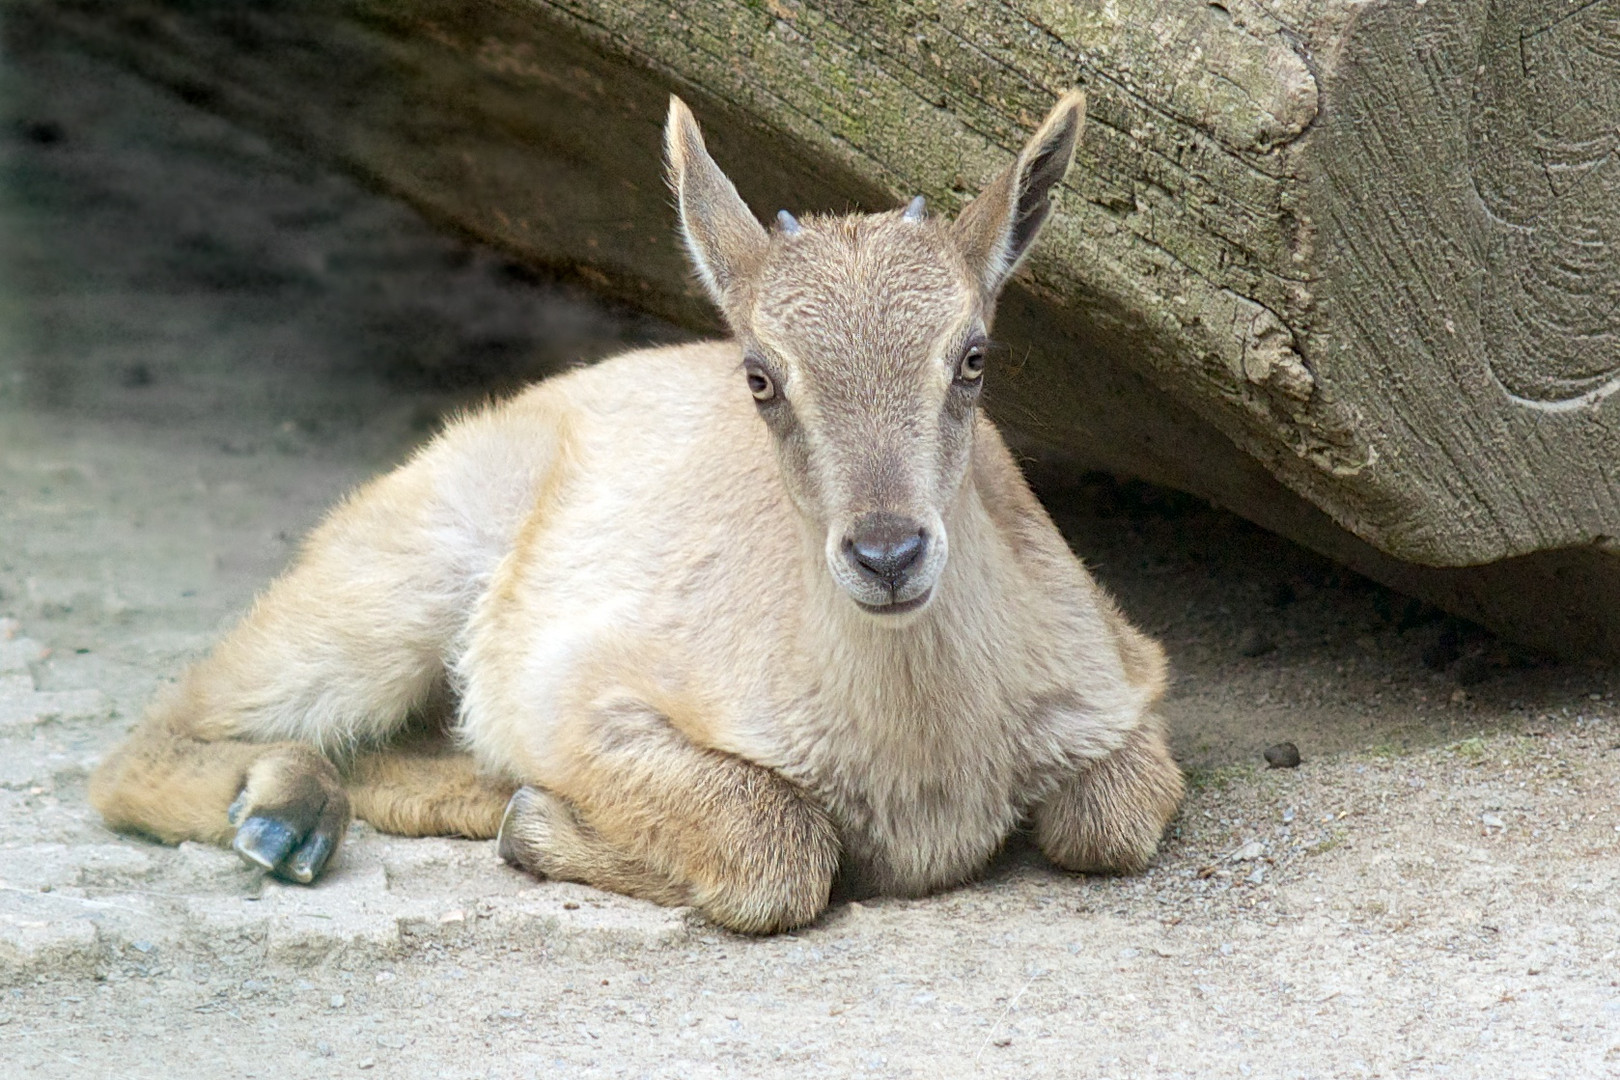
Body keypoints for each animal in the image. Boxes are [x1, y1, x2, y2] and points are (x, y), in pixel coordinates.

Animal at [91, 93, 1179, 932]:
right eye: (760, 376)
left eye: (973, 355)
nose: (888, 553)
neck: (923, 751)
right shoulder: (581, 697)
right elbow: (777, 849)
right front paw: (538, 830)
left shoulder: (1126, 682)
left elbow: (1115, 820)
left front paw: (532, 823)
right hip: (393, 585)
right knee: (149, 740)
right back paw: (285, 818)